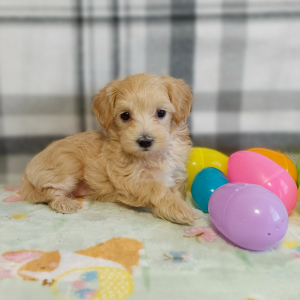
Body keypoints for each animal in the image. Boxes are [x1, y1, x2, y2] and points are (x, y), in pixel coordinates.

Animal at [21, 74, 197, 225]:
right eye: (125, 115)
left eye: (161, 112)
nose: (145, 141)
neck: (153, 156)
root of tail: (26, 175)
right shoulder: (129, 179)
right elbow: (157, 188)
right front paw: (180, 209)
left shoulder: (176, 174)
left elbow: (174, 190)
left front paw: (179, 206)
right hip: (68, 165)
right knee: (49, 192)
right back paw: (64, 203)